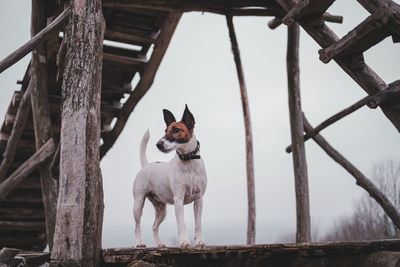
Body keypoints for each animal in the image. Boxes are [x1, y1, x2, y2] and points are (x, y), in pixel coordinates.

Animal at [134, 104, 208, 249]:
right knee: (137, 226)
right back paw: (139, 243)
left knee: (154, 226)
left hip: (161, 209)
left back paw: (159, 244)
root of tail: (147, 165)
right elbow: (181, 223)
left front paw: (199, 241)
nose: (158, 144)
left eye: (177, 129)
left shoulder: (199, 200)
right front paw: (184, 241)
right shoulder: (178, 199)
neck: (188, 161)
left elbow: (198, 224)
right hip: (138, 204)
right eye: (165, 130)